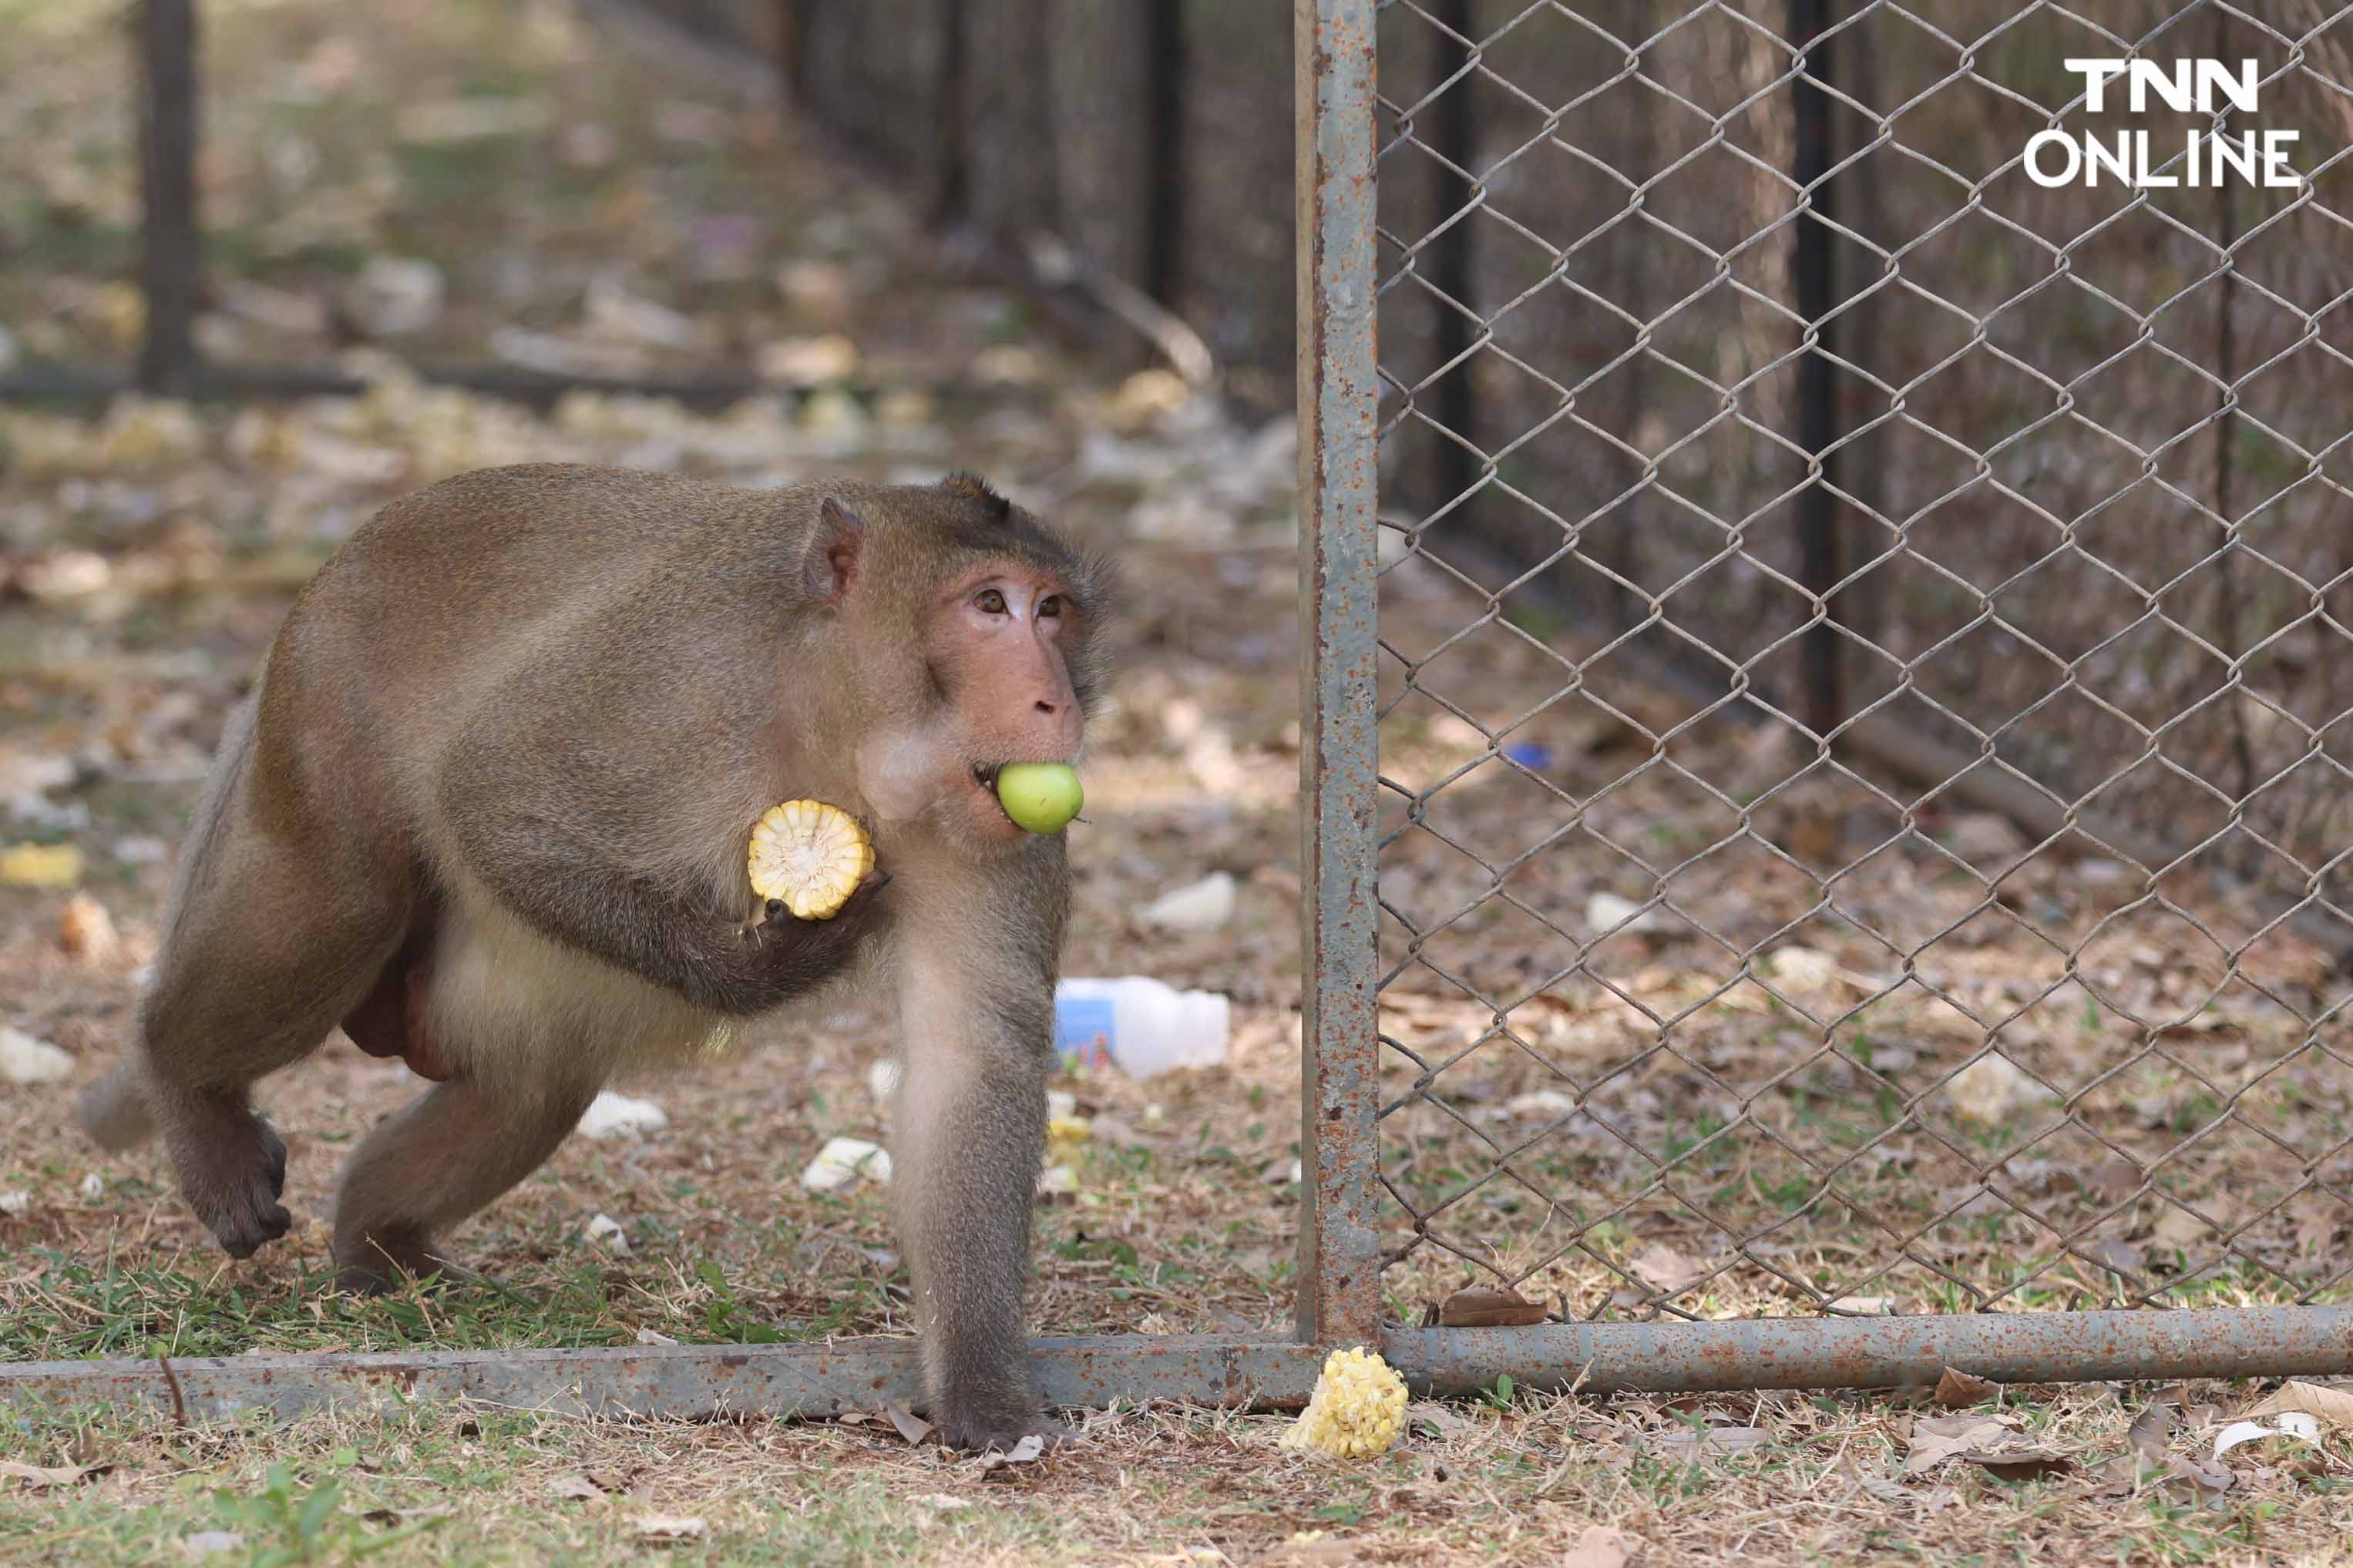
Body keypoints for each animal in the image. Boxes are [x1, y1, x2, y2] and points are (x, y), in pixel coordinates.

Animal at [80, 465, 1111, 1457]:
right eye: (988, 606)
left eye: (1052, 609)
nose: (1054, 700)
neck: (840, 729)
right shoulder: (674, 689)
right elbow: (494, 791)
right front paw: (759, 968)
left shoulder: (996, 833)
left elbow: (968, 1061)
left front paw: (983, 1387)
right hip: (326, 698)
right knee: (346, 894)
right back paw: (188, 1085)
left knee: (535, 1080)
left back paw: (379, 1237)